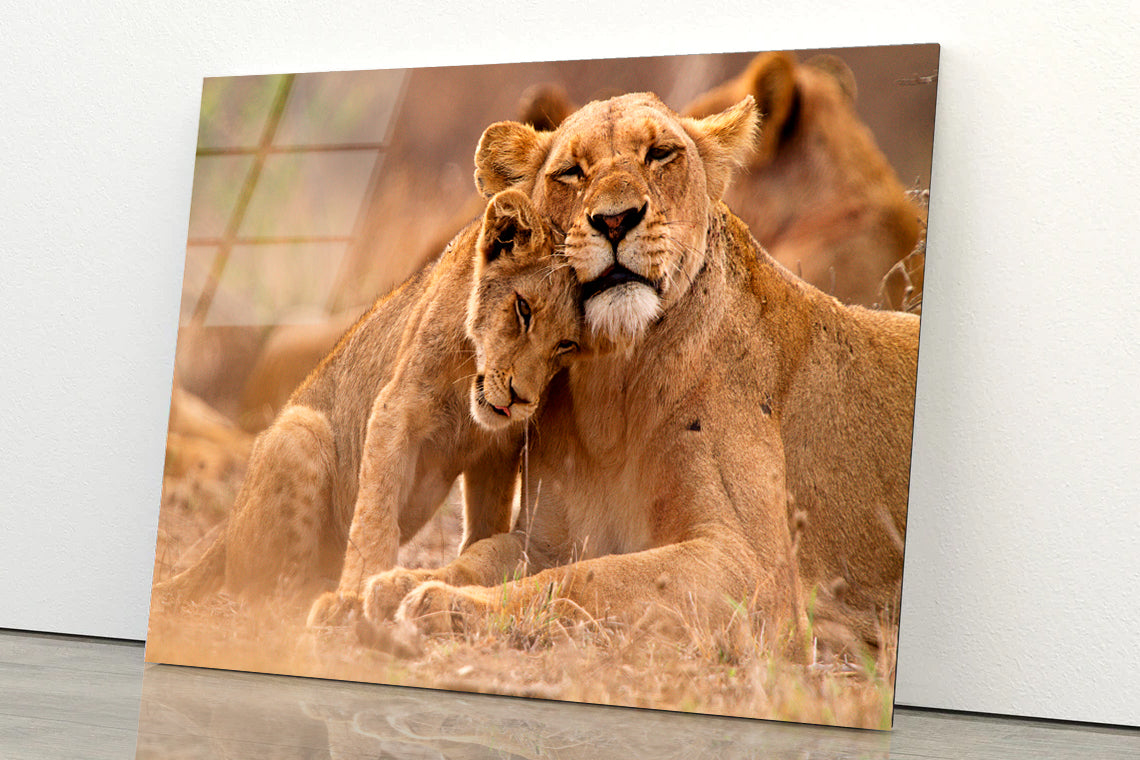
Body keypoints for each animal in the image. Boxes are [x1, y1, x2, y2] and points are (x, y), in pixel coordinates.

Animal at [154, 190, 581, 611]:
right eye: (523, 309)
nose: (519, 398)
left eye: (567, 345)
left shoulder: (498, 447)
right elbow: (376, 511)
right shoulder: (395, 408)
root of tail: (224, 536)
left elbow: (488, 521)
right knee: (271, 592)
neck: (468, 381)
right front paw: (361, 588)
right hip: (299, 429)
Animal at [360, 93, 918, 651]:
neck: (612, 387)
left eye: (661, 153)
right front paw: (399, 582)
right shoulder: (544, 539)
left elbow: (588, 578)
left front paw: (443, 604)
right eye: (571, 171)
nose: (614, 220)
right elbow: (482, 554)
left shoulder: (758, 573)